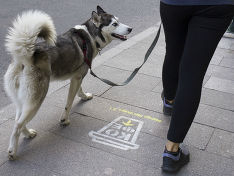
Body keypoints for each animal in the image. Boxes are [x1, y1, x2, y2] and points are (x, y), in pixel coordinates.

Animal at [4, 6, 132, 160]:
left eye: (118, 20)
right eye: (114, 24)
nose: (130, 29)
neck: (90, 36)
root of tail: (24, 57)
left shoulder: (77, 76)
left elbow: (79, 90)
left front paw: (84, 96)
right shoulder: (78, 76)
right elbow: (69, 102)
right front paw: (65, 120)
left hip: (22, 100)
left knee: (17, 120)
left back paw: (28, 134)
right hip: (36, 99)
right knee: (17, 124)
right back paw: (12, 151)